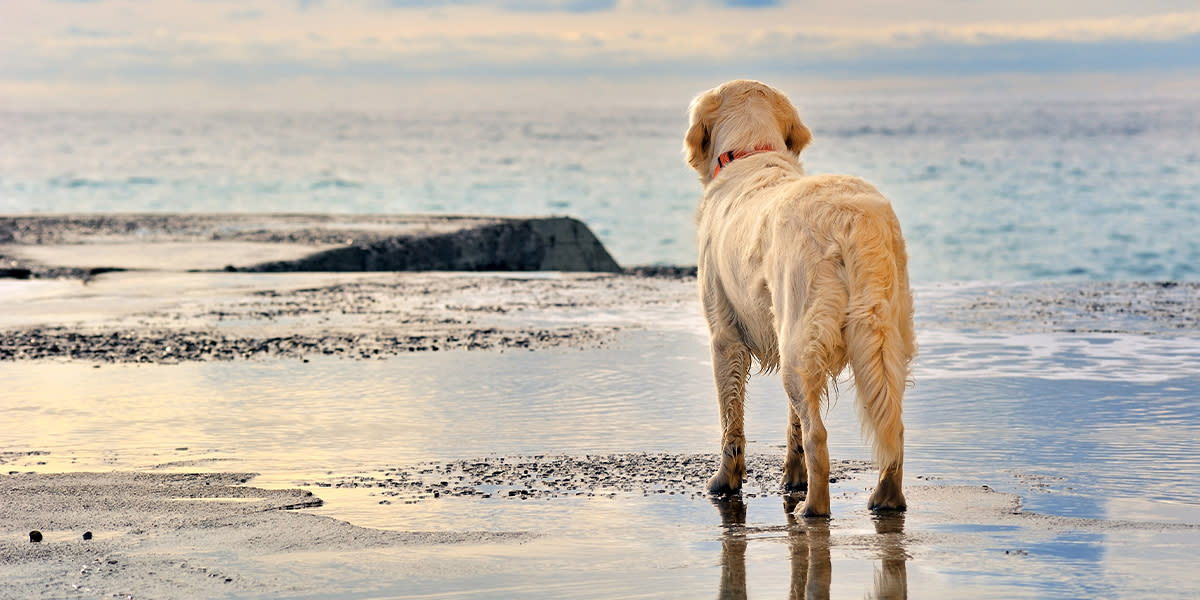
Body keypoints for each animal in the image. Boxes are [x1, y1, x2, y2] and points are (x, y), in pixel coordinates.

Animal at [686, 79, 916, 518]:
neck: (751, 152)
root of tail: (851, 217)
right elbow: (792, 420)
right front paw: (792, 477)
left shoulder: (723, 334)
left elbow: (731, 418)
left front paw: (725, 482)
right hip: (880, 334)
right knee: (891, 424)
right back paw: (886, 497)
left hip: (800, 332)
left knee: (819, 437)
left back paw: (814, 507)